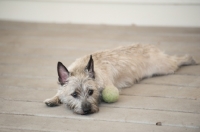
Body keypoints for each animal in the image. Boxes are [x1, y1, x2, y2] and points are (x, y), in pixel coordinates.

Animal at [44, 44, 197, 114]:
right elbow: (59, 92)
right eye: (74, 94)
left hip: (164, 67)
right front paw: (52, 99)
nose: (87, 110)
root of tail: (150, 47)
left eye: (91, 92)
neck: (81, 68)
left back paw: (190, 59)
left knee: (176, 60)